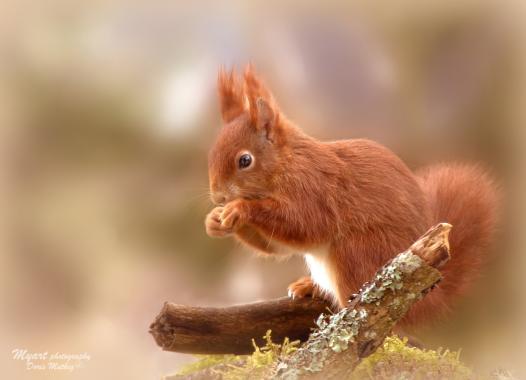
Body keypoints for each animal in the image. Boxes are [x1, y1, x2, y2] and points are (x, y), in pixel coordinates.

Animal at [204, 66, 502, 326]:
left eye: (245, 160)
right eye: (213, 153)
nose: (218, 197)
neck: (286, 163)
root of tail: (423, 298)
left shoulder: (313, 188)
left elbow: (305, 225)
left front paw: (239, 209)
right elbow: (278, 246)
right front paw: (214, 221)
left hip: (356, 252)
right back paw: (309, 286)